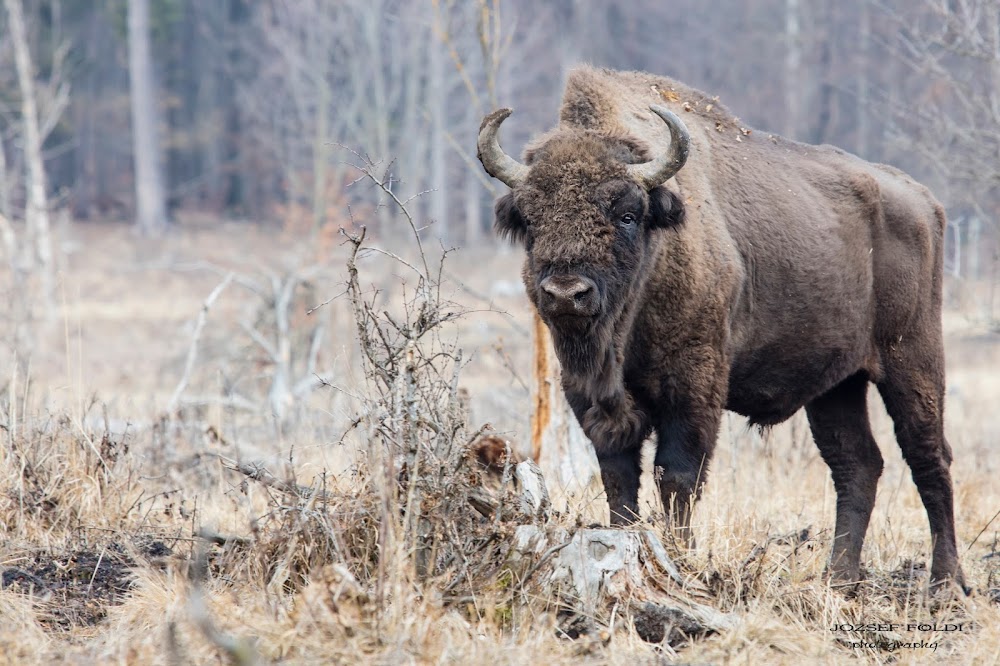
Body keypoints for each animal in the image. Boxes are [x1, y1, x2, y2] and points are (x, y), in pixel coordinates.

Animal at [480, 65, 964, 588]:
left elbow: (676, 474)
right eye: (531, 220)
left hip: (913, 358)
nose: (567, 292)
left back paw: (945, 584)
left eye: (627, 214)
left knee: (928, 457)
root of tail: (925, 203)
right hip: (838, 385)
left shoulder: (694, 386)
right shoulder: (591, 397)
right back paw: (839, 578)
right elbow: (618, 476)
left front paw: (678, 558)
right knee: (857, 464)